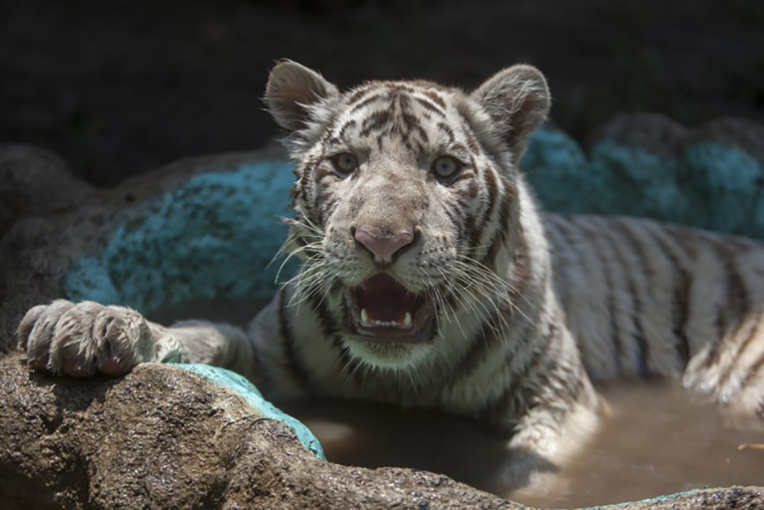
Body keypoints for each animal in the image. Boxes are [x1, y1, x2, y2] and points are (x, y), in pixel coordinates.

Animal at [16, 60, 764, 493]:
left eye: (445, 169)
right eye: (345, 164)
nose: (382, 239)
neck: (406, 378)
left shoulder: (562, 399)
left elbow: (531, 472)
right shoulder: (264, 349)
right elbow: (196, 335)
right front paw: (86, 323)